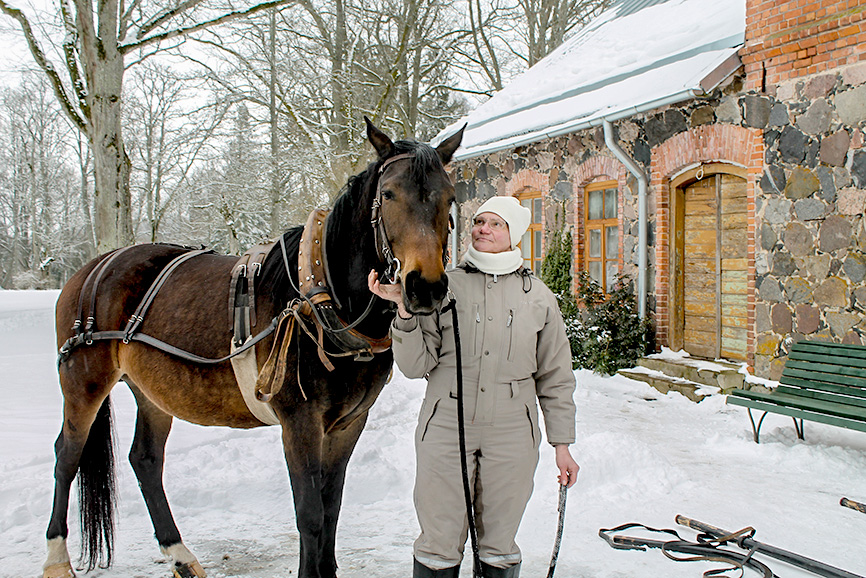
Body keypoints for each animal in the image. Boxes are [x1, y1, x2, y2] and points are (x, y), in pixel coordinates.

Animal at [42, 118, 460, 576]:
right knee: (67, 455)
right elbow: (310, 515)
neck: (322, 297)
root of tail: (94, 267)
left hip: (152, 391)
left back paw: (180, 554)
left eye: (450, 197)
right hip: (84, 382)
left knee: (146, 461)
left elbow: (331, 507)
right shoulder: (299, 421)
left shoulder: (349, 423)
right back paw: (57, 557)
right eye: (388, 194)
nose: (425, 286)